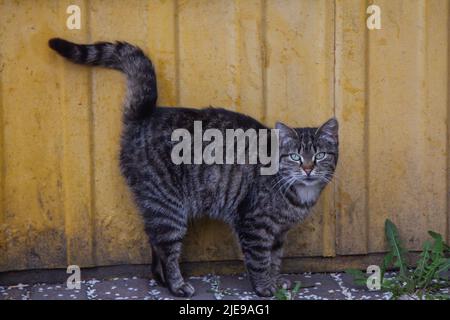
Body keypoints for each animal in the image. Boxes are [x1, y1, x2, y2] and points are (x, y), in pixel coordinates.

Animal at [48, 37, 338, 298]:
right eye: (295, 157)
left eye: (320, 155)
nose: (308, 168)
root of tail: (144, 117)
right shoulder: (254, 224)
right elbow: (259, 260)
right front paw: (265, 287)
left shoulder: (278, 232)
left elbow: (275, 259)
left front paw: (277, 281)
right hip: (169, 207)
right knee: (166, 250)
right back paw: (176, 285)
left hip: (159, 208)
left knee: (154, 242)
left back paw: (163, 281)